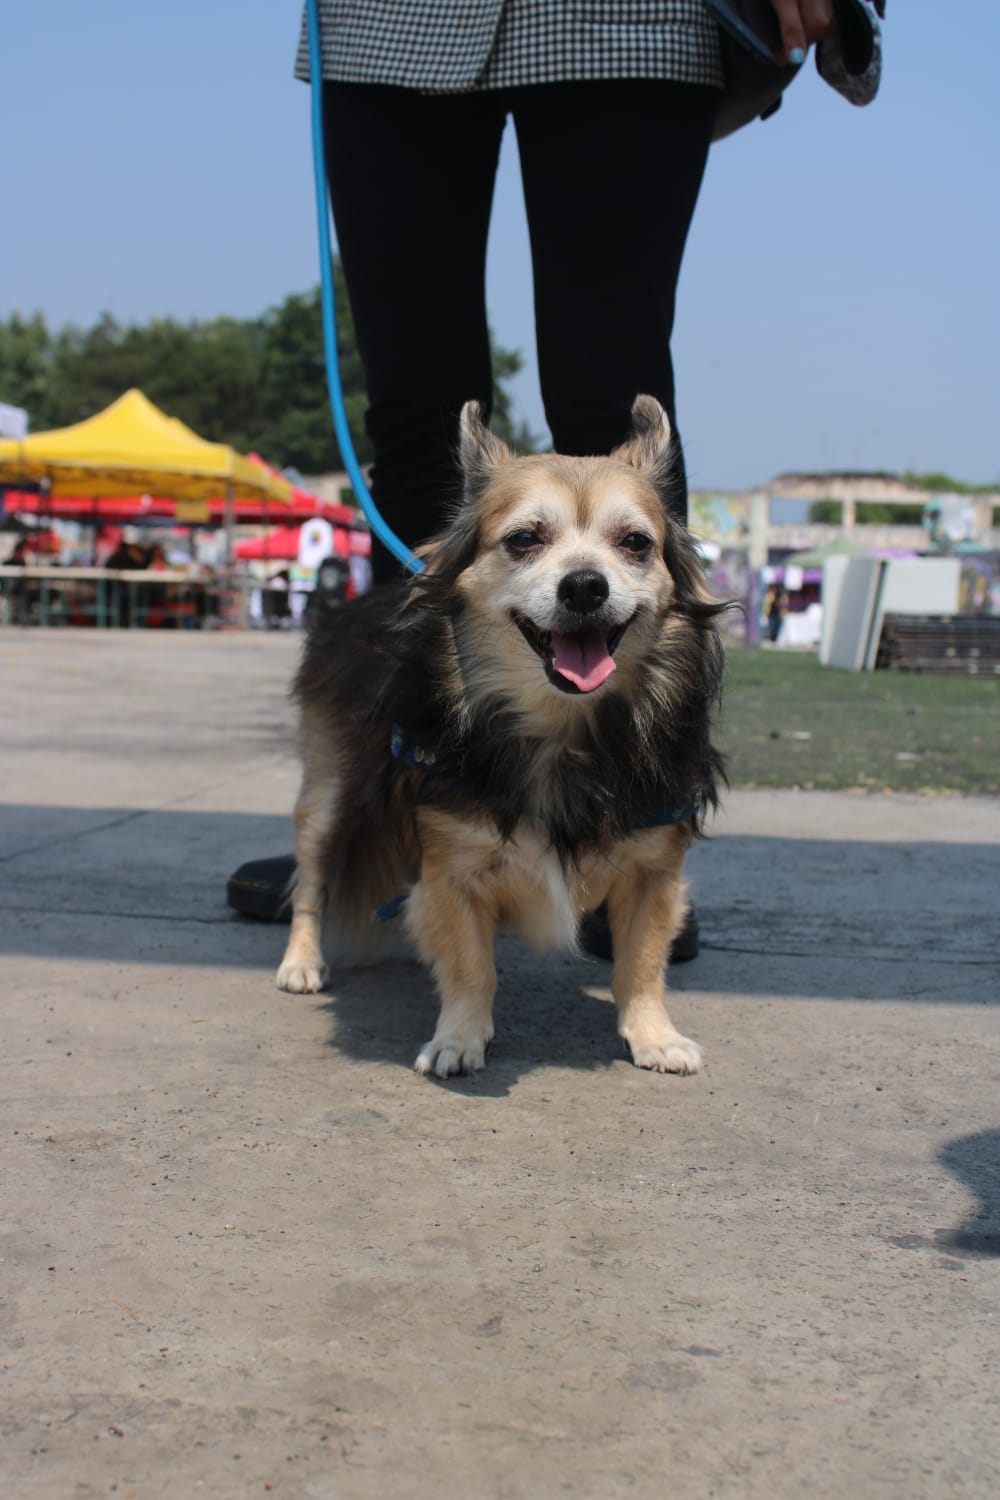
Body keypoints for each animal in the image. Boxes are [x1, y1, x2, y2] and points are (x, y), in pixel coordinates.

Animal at [277, 399, 722, 1080]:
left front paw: (654, 1034)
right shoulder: (452, 868)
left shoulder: (654, 870)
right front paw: (459, 1037)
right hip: (328, 797)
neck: (562, 729)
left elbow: (641, 965)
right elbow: (470, 966)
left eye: (635, 543)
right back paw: (302, 962)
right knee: (312, 882)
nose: (585, 585)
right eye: (523, 539)